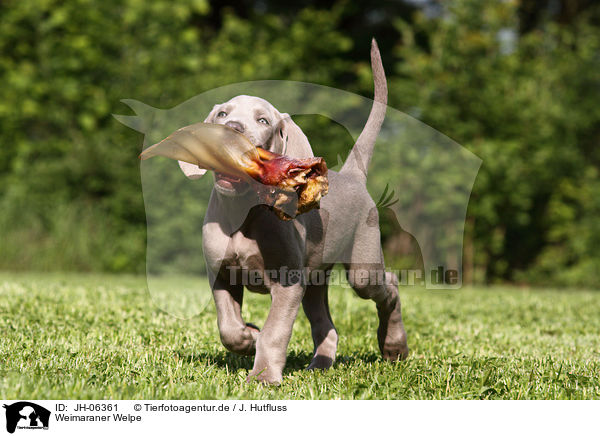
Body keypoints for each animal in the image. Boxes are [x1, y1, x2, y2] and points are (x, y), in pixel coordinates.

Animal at [178, 40, 408, 382]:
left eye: (263, 121)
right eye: (222, 113)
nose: (231, 129)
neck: (245, 212)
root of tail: (352, 175)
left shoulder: (288, 282)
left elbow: (275, 331)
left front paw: (263, 377)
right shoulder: (220, 273)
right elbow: (228, 327)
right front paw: (249, 336)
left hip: (361, 267)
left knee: (388, 285)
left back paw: (394, 346)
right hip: (314, 277)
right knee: (328, 326)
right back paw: (320, 365)